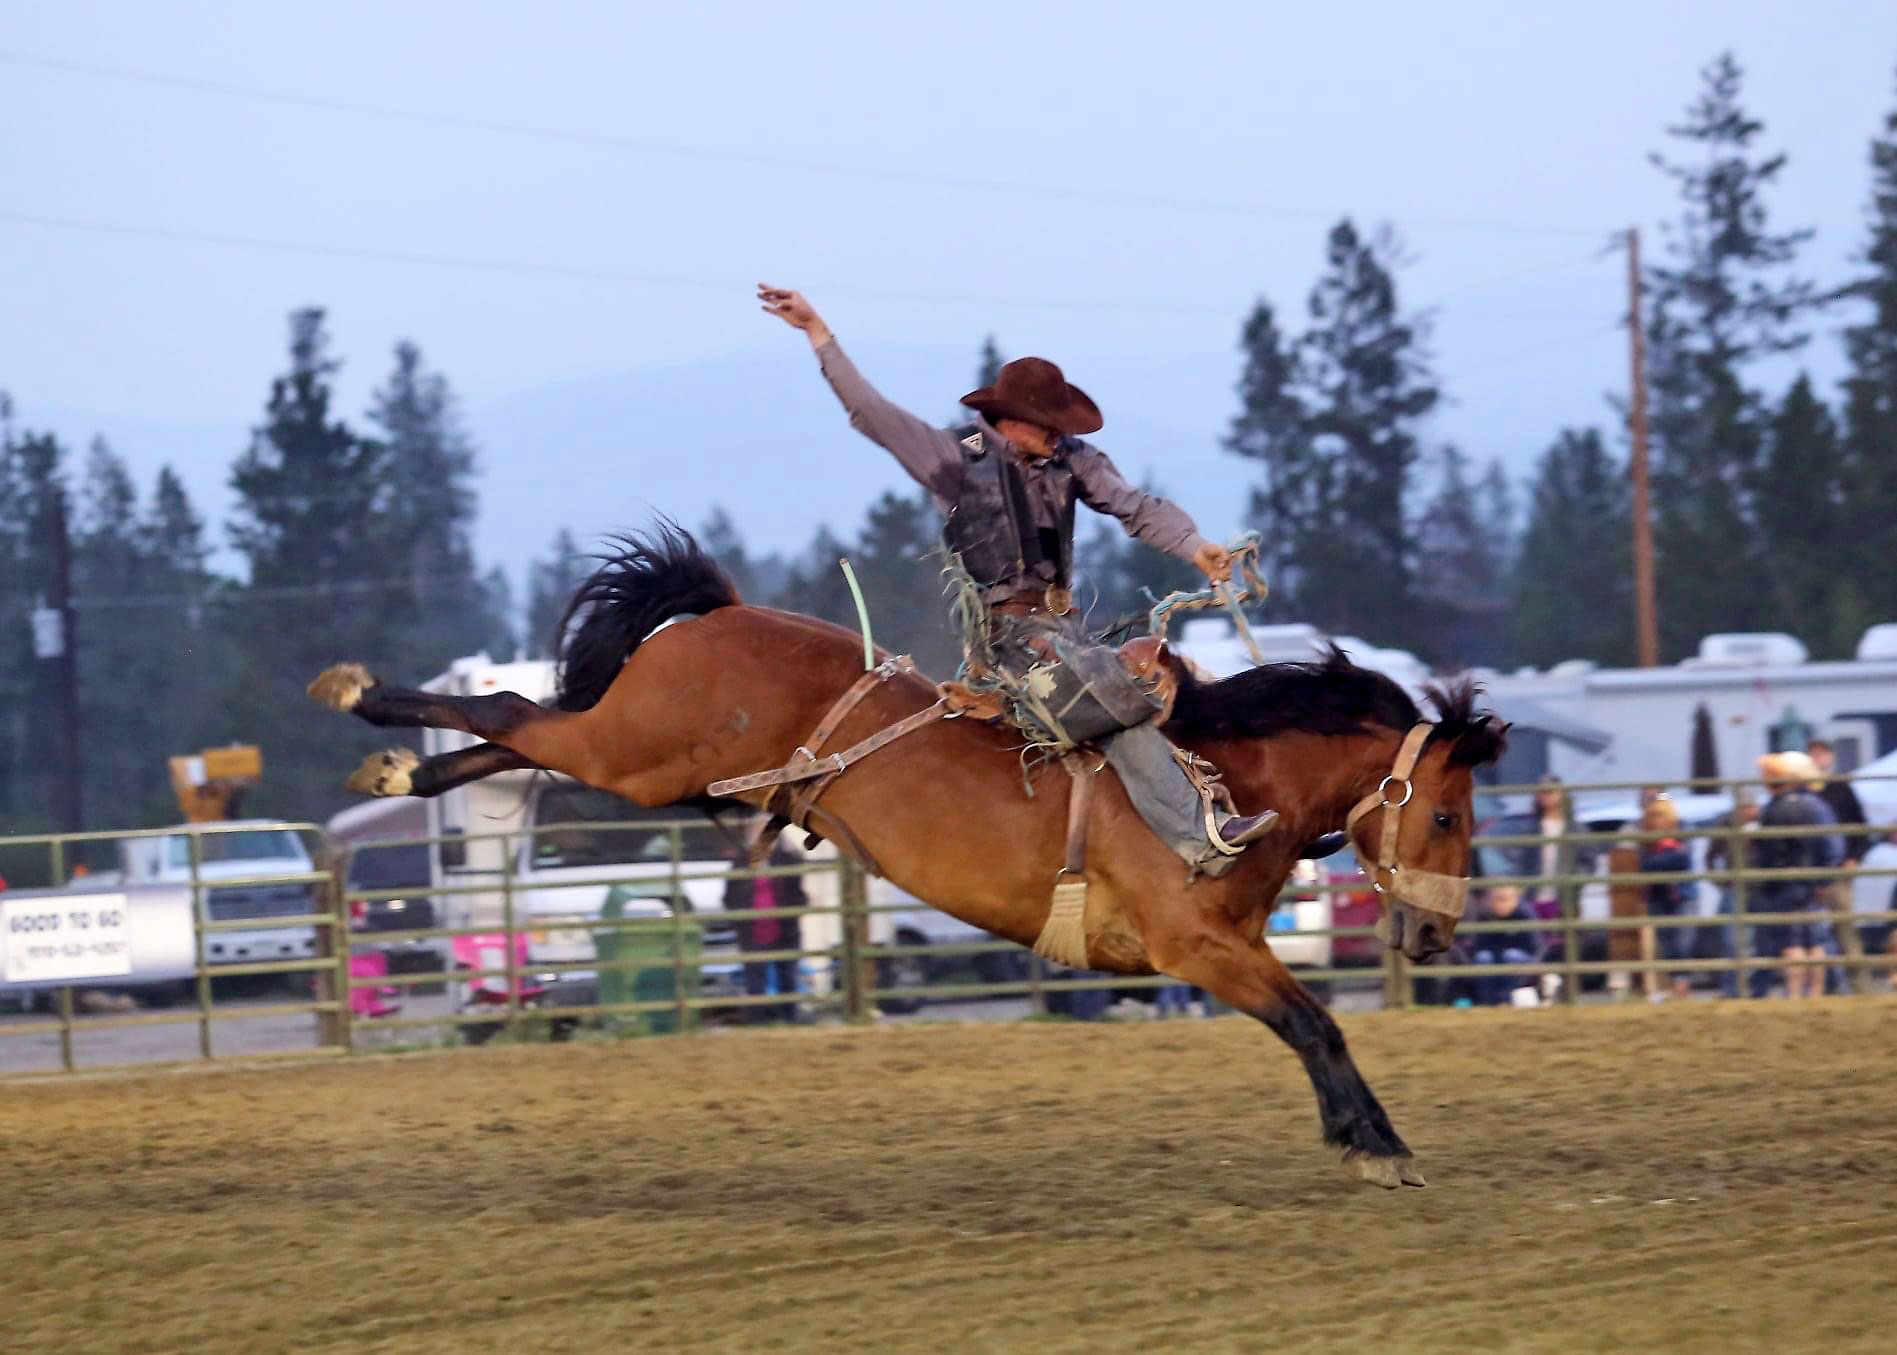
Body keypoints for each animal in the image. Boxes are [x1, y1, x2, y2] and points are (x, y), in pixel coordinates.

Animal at [311, 523, 1502, 1184]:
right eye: (1449, 816)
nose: (1436, 931)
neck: (1224, 782)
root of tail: (721, 617)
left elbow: (1311, 1023)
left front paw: (1365, 1137)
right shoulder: (1193, 947)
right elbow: (1314, 1022)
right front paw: (1376, 1145)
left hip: (654, 767)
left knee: (513, 736)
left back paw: (393, 771)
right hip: (637, 753)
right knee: (515, 712)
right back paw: (359, 696)